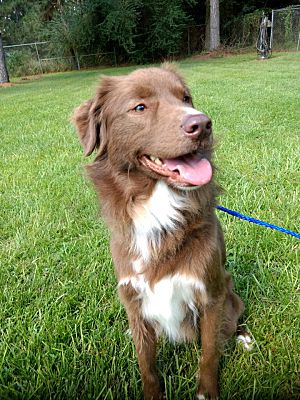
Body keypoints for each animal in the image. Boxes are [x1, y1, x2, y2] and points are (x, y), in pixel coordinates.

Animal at [72, 64, 248, 398]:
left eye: (186, 98)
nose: (202, 124)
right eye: (140, 107)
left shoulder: (210, 293)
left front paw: (206, 391)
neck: (159, 208)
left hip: (228, 288)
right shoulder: (134, 299)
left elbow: (209, 352)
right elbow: (147, 364)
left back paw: (244, 337)